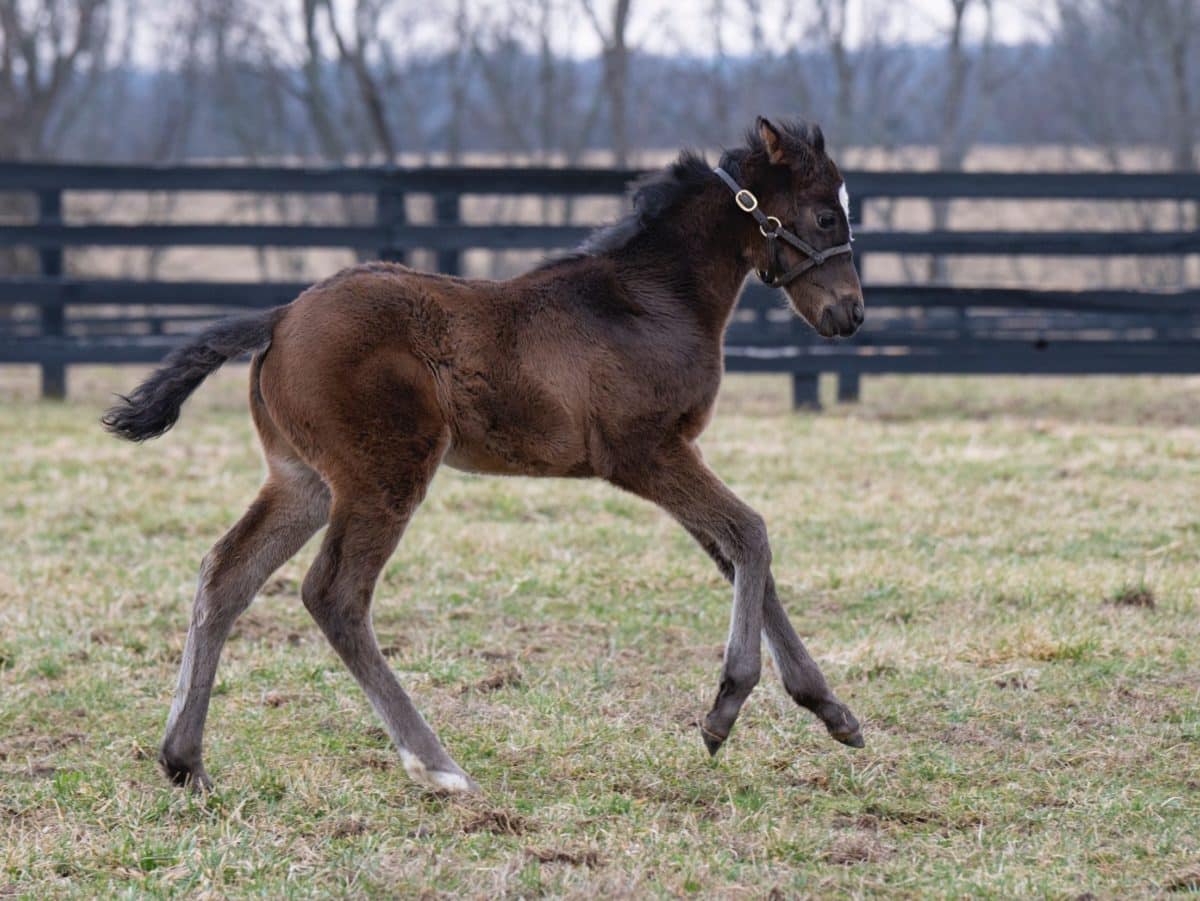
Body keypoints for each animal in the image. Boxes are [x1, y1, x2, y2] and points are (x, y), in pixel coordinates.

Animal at [105, 116, 864, 791]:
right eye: (828, 217)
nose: (850, 314)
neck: (648, 301)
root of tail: (281, 316)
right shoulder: (645, 452)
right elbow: (750, 534)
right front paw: (726, 704)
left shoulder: (672, 455)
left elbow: (736, 557)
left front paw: (831, 710)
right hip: (386, 473)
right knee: (334, 594)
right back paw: (435, 764)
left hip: (304, 481)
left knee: (225, 576)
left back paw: (184, 761)